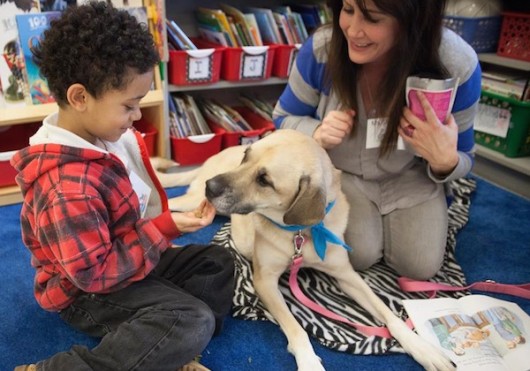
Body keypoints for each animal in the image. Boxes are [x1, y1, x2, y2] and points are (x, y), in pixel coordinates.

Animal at [151, 130, 452, 371]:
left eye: (264, 180)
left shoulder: (348, 276)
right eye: (246, 155)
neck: (301, 233)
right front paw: (308, 361)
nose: (211, 186)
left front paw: (422, 347)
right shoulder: (265, 281)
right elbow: (297, 329)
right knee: (168, 205)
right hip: (192, 201)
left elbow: (388, 313)